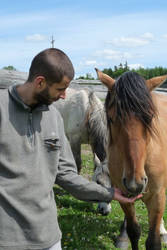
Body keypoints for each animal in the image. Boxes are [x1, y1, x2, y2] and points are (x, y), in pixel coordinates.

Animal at [96, 69, 167, 250]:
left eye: (150, 118)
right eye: (111, 119)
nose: (135, 183)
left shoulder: (157, 196)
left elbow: (153, 241)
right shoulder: (124, 196)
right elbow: (134, 231)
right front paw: (124, 237)